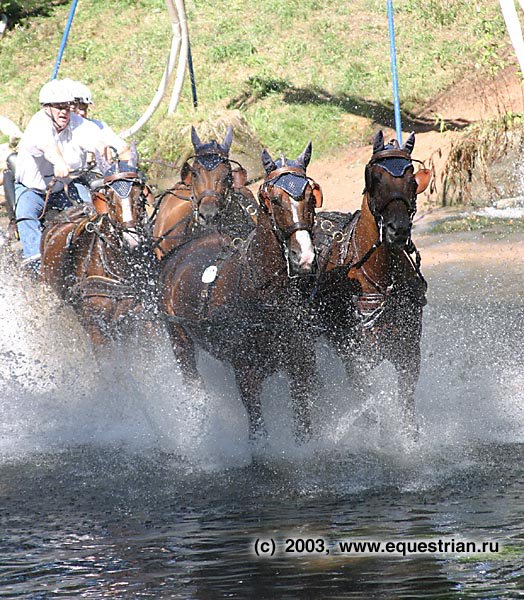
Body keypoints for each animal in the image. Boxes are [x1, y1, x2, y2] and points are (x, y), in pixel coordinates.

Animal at [160, 141, 324, 440]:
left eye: (311, 196)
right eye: (274, 199)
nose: (304, 257)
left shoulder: (301, 364)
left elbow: (303, 426)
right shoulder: (246, 373)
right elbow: (257, 431)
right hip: (179, 340)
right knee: (193, 384)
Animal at [314, 129, 432, 434]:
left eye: (412, 180)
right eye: (375, 178)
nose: (398, 229)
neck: (382, 279)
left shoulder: (408, 353)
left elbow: (406, 408)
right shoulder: (357, 360)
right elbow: (370, 406)